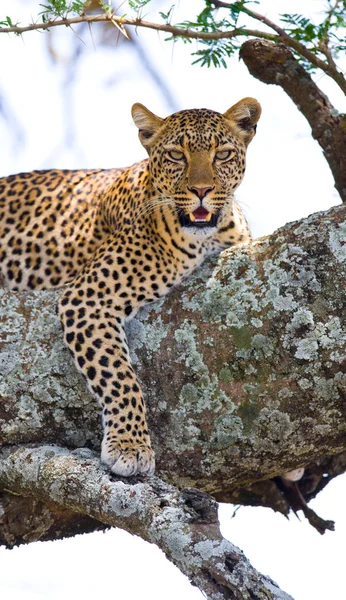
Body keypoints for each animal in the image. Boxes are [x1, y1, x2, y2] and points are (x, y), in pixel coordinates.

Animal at [0, 97, 260, 474]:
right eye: (176, 155)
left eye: (223, 154)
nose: (201, 191)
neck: (204, 239)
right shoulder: (88, 297)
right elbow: (119, 376)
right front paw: (130, 445)